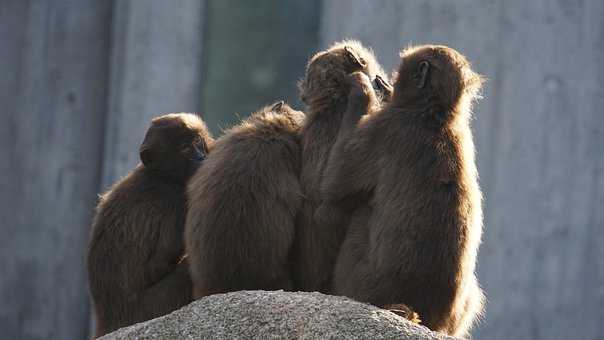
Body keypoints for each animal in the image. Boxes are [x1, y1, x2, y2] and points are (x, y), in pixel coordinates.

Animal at [86, 112, 214, 338]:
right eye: (185, 148)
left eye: (198, 142)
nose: (201, 158)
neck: (161, 176)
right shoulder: (176, 201)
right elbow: (158, 265)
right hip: (150, 307)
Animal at [316, 45, 486, 338]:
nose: (388, 83)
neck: (435, 114)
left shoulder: (384, 127)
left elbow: (334, 187)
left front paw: (361, 90)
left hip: (361, 282)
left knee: (350, 211)